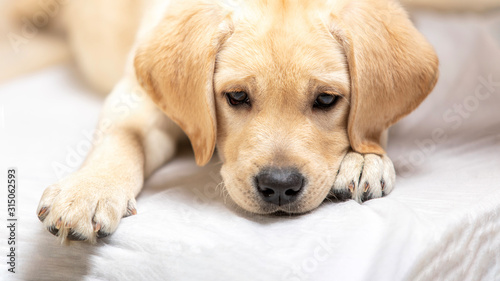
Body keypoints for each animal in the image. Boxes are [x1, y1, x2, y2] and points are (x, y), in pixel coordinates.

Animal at [35, 0, 438, 241]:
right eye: (237, 97)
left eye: (326, 99)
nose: (279, 186)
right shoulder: (136, 95)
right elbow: (121, 137)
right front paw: (89, 190)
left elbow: (372, 123)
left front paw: (365, 157)